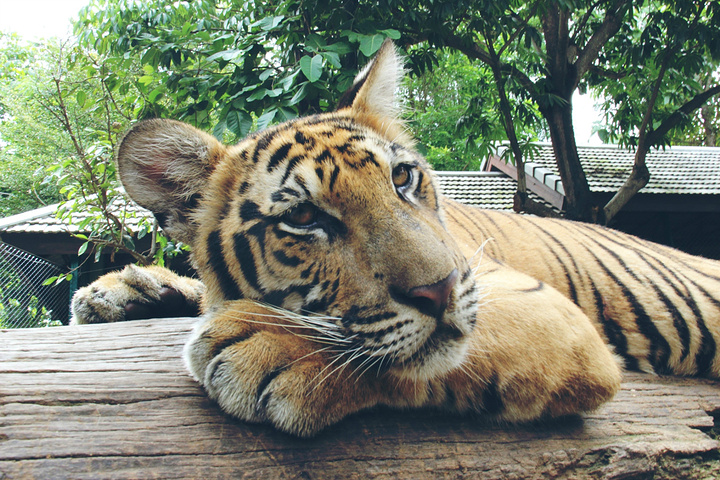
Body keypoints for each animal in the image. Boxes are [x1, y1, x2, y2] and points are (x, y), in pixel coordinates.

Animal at [71, 40, 720, 438]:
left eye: (402, 178)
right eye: (303, 218)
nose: (441, 290)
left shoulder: (544, 311)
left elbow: (426, 355)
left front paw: (271, 347)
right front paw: (127, 290)